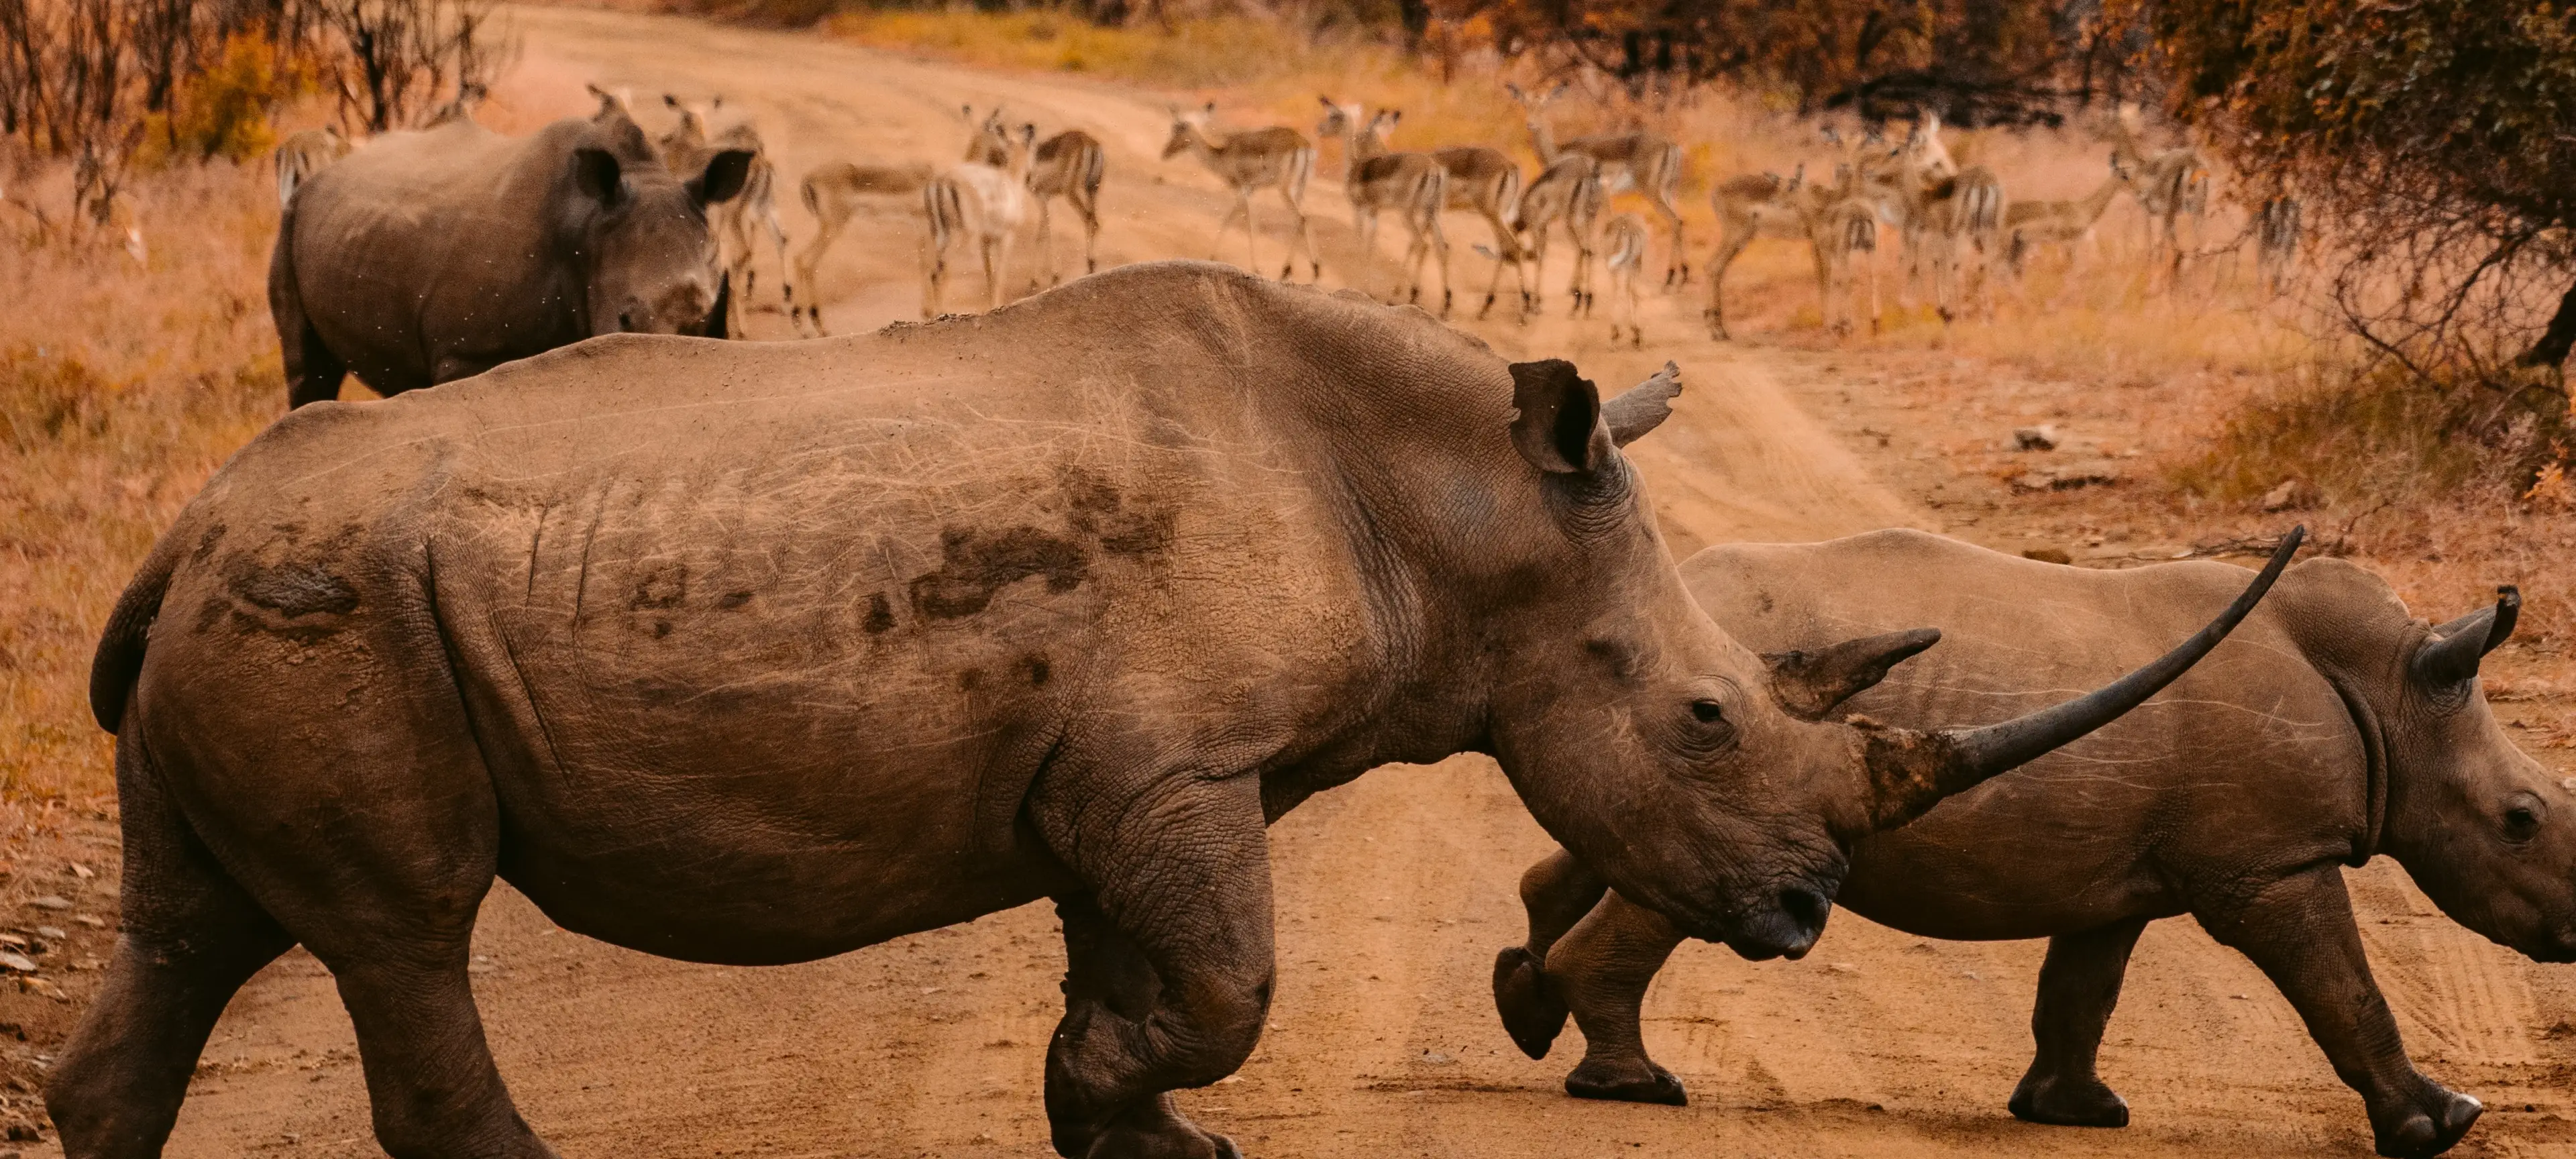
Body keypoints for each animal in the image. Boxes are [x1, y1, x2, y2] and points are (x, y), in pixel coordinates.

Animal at [57, 263, 2280, 1159]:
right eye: (1713, 719)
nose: (1810, 919)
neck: (1461, 511)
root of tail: (177, 530)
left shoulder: (1117, 778)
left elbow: (1140, 978)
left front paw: (1121, 1125)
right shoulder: (1173, 770)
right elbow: (1225, 986)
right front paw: (1129, 1101)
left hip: (266, 605)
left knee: (195, 930)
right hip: (335, 610)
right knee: (404, 930)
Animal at [270, 92, 752, 409]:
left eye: (706, 320)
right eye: (624, 320)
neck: (587, 228)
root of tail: (327, 169)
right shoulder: (467, 352)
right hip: (292, 218)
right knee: (307, 370)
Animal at [1495, 530, 2543, 1158]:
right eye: (2524, 820)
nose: (2570, 934)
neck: (2393, 691)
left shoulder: (2121, 872)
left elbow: (2083, 988)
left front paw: (2077, 1113)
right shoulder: (2270, 865)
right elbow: (2345, 988)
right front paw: (2445, 1123)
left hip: (1680, 715)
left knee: (1615, 841)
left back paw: (1530, 1009)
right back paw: (1636, 1089)